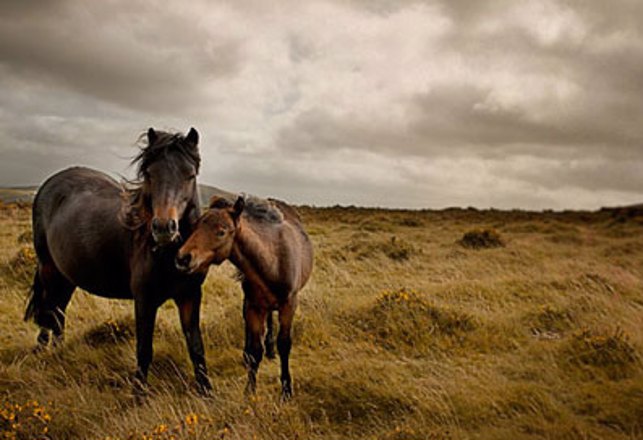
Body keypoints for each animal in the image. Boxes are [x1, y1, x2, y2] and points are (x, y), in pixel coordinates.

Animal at [25, 127, 213, 396]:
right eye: (149, 173)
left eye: (190, 175)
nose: (163, 228)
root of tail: (49, 184)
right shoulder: (144, 300)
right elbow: (144, 349)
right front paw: (138, 395)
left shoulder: (190, 295)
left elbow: (196, 346)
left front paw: (207, 392)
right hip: (49, 268)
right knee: (49, 308)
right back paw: (42, 352)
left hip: (67, 274)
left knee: (59, 311)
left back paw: (59, 353)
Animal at [176, 196, 314, 398]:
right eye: (195, 227)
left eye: (221, 232)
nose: (182, 258)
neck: (272, 262)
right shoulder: (254, 307)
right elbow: (255, 350)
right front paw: (250, 391)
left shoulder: (289, 306)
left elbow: (284, 344)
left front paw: (286, 390)